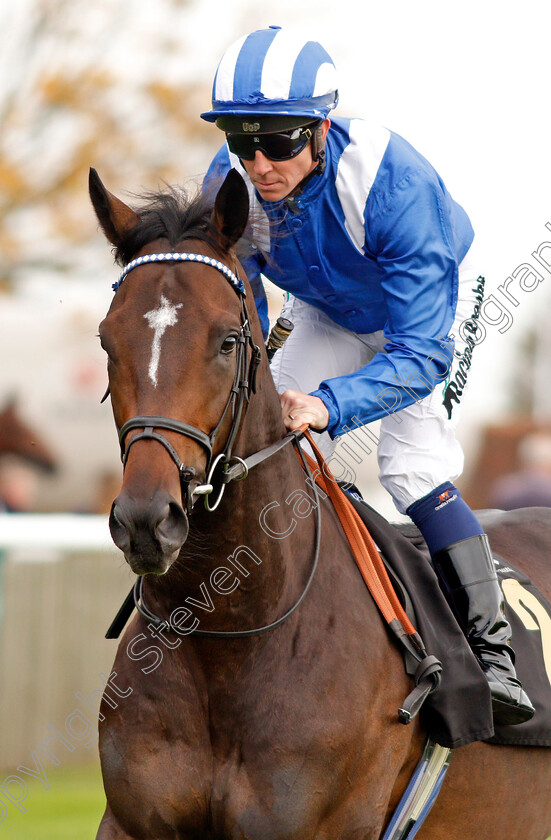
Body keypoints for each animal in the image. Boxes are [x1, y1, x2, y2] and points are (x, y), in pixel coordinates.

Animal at [89, 166, 551, 840]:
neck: (226, 637)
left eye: (227, 341)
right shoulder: (130, 823)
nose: (146, 519)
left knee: (424, 478)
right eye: (107, 340)